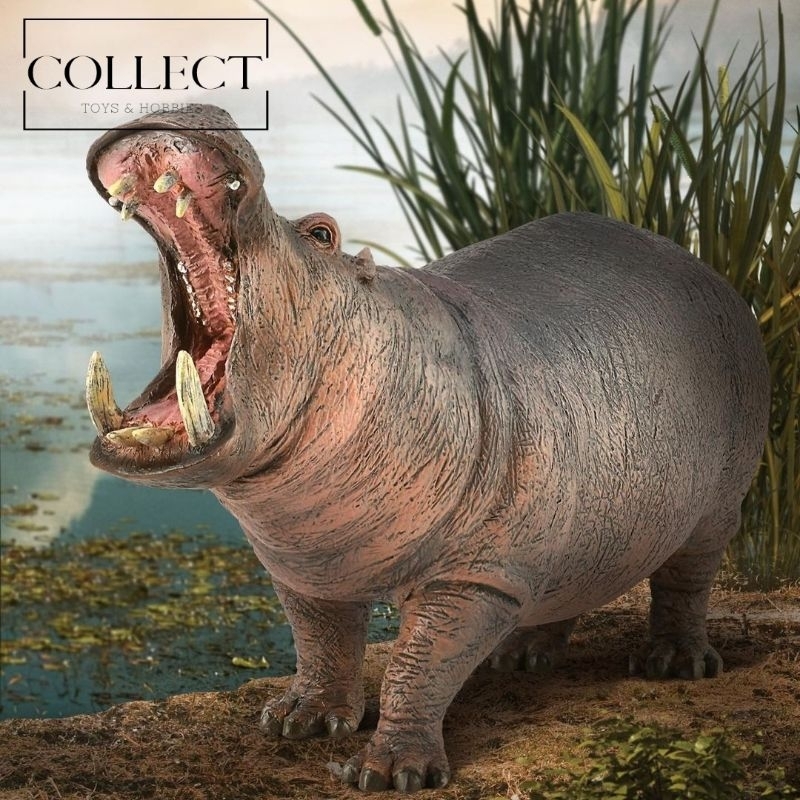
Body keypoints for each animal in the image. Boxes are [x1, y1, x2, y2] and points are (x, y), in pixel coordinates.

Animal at [84, 105, 770, 793]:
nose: (204, 109)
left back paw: (675, 666)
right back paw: (520, 660)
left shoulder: (471, 575)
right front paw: (296, 721)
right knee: (569, 579)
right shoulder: (304, 563)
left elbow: (419, 665)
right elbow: (320, 641)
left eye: (323, 232)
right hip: (581, 521)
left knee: (686, 580)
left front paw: (390, 775)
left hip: (715, 507)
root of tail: (707, 270)